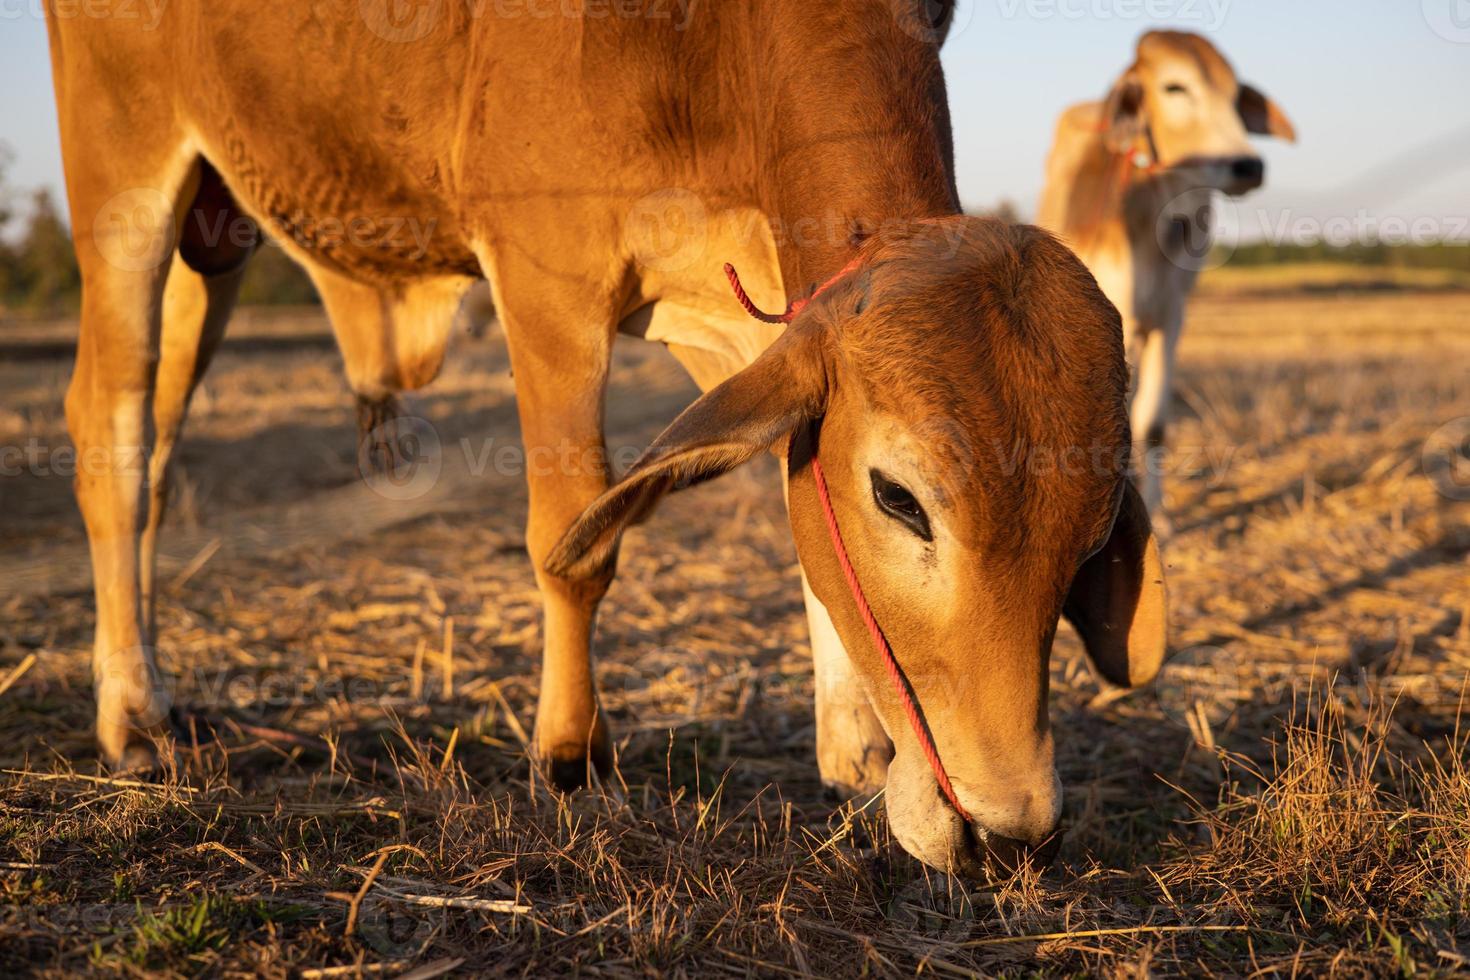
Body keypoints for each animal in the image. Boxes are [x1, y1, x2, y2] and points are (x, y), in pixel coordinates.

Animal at [45, 0, 1164, 875]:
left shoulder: (753, 296)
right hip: (124, 178)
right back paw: (132, 714)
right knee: (109, 434)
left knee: (158, 445)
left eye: (1091, 531)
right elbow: (575, 539)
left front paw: (855, 752)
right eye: (900, 499)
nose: (1010, 835)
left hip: (215, 238)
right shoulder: (548, 283)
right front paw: (572, 758)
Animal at [1034, 30, 1299, 525]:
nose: (1247, 166)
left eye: (1234, 95)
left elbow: (1152, 423)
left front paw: (1157, 517)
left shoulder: (1171, 318)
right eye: (1175, 87)